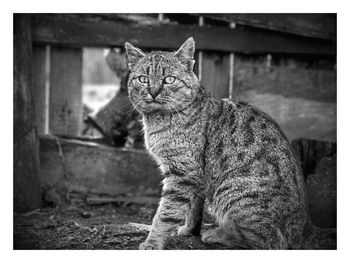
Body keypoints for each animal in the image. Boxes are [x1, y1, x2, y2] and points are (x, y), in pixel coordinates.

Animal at [125, 38, 336, 251]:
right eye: (143, 79)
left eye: (169, 79)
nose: (153, 92)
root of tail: (306, 228)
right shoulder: (195, 176)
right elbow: (194, 207)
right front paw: (189, 229)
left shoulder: (183, 173)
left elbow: (166, 214)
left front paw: (153, 242)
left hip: (232, 189)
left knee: (267, 239)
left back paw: (220, 233)